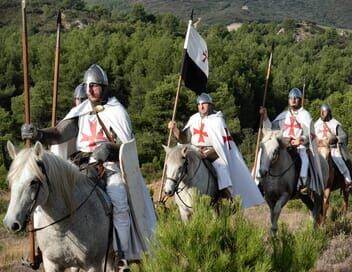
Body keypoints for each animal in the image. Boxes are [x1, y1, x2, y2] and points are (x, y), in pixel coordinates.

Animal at [2, 141, 114, 270]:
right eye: (10, 181)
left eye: (34, 181)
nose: (10, 223)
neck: (63, 228)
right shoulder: (51, 263)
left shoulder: (94, 264)